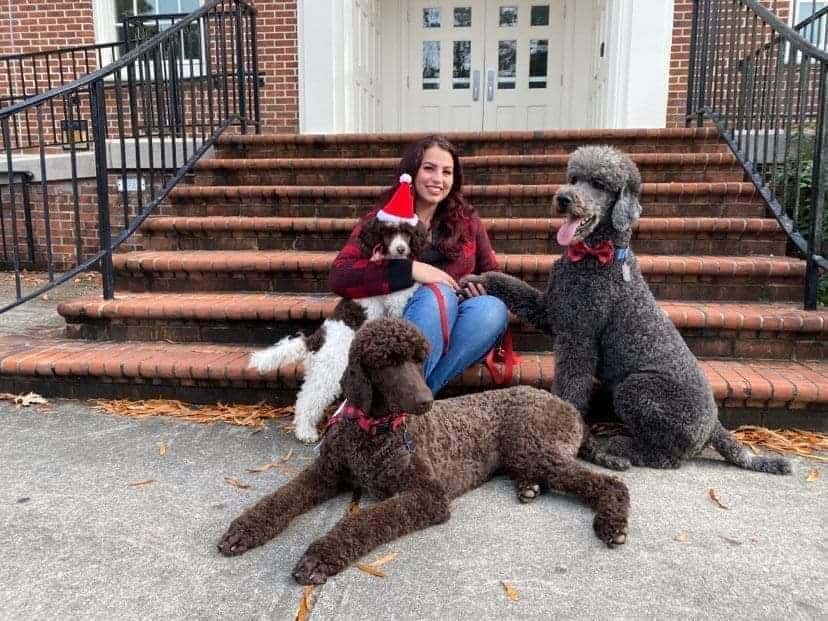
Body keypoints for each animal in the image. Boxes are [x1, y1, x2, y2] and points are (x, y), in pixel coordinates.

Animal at [250, 219, 427, 443]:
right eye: (387, 232)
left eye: (408, 233)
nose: (401, 248)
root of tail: (316, 339)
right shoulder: (397, 299)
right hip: (330, 371)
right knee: (310, 399)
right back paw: (306, 431)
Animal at [462, 146, 791, 475]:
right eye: (574, 178)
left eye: (599, 184)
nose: (563, 198)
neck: (595, 257)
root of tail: (713, 426)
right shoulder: (552, 311)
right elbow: (511, 285)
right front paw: (476, 281)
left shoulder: (578, 336)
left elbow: (571, 387)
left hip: (636, 389)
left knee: (667, 457)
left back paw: (620, 447)